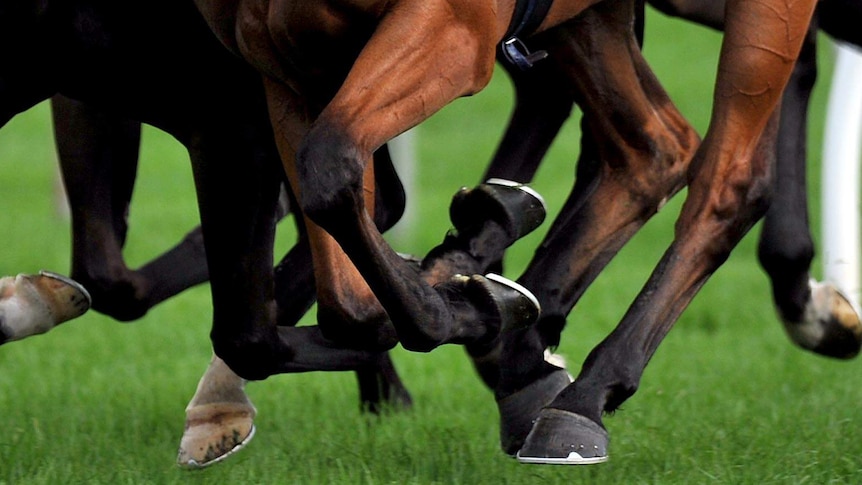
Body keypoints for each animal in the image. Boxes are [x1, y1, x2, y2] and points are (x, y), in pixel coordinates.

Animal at [191, 0, 824, 466]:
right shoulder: (285, 63)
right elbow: (336, 305)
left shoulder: (450, 25)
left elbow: (329, 169)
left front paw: (475, 301)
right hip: (592, 17)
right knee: (651, 151)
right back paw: (523, 355)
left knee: (730, 181)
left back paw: (583, 397)